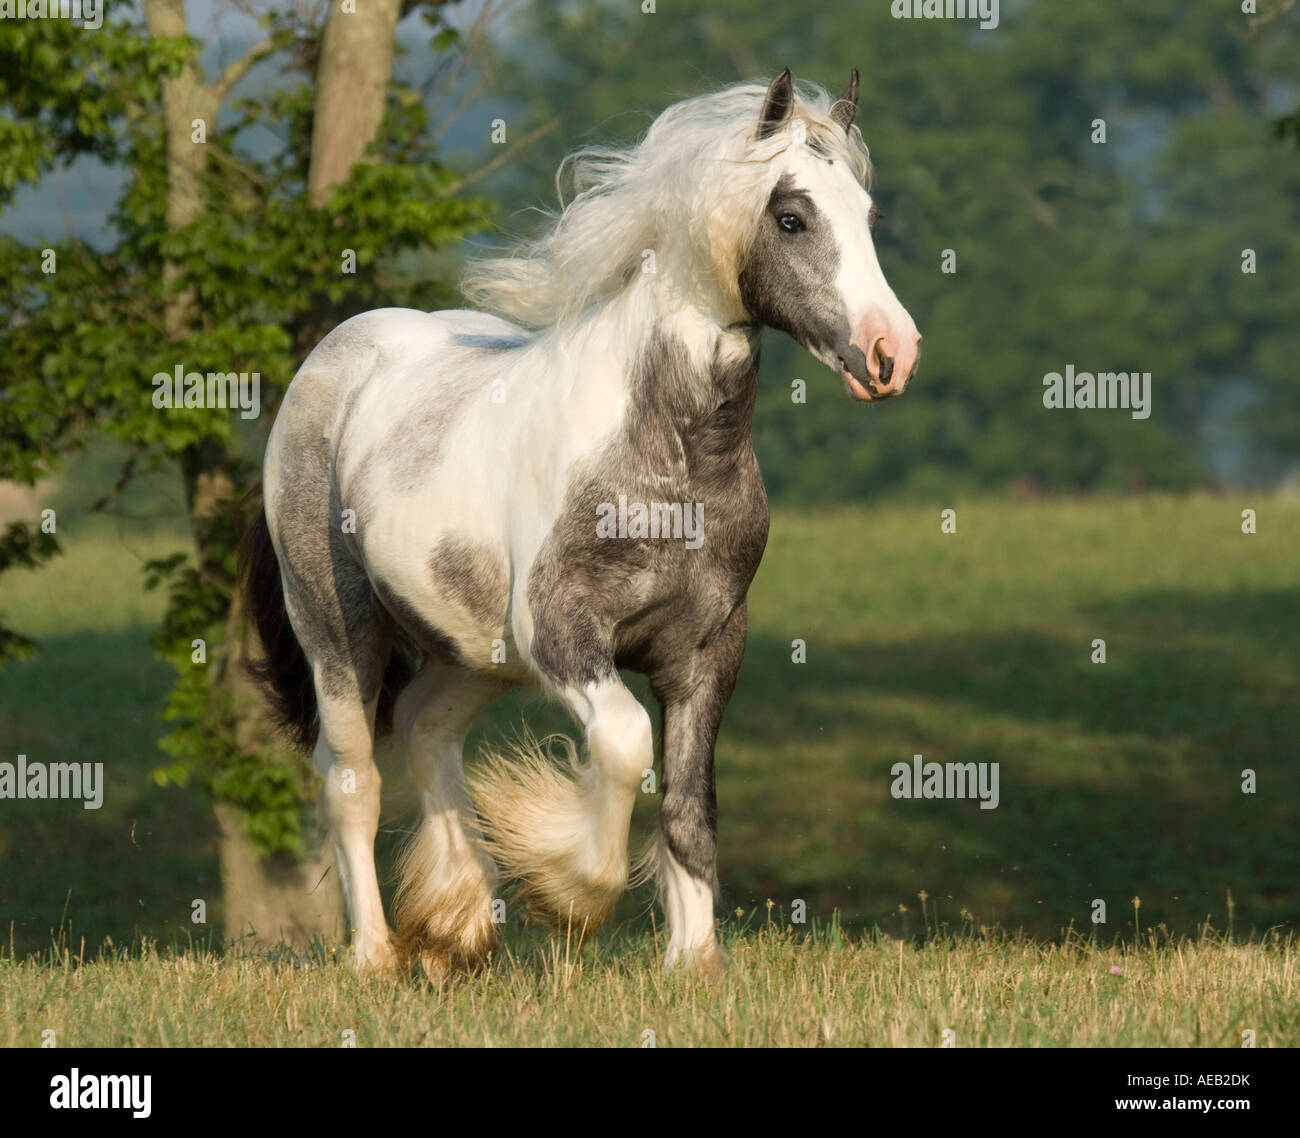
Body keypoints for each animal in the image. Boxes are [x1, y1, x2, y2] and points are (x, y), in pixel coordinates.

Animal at [241, 68, 915, 978]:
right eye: (790, 217)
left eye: (868, 216)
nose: (891, 353)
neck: (670, 460)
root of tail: (331, 362)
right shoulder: (563, 635)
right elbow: (626, 747)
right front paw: (568, 893)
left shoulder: (707, 650)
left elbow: (689, 806)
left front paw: (692, 962)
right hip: (337, 629)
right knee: (350, 777)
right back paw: (378, 955)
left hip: (479, 649)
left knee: (423, 726)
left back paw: (457, 924)